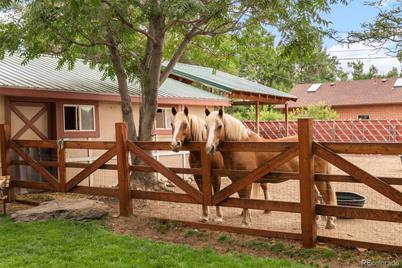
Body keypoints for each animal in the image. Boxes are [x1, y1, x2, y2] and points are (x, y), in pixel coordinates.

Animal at [204, 108, 336, 229]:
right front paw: (247, 220)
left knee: (326, 195)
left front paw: (245, 223)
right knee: (317, 195)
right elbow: (242, 200)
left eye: (220, 126)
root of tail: (316, 144)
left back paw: (330, 223)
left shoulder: (246, 181)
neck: (243, 147)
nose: (209, 148)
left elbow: (246, 200)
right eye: (206, 126)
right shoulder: (236, 181)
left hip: (320, 179)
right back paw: (317, 220)